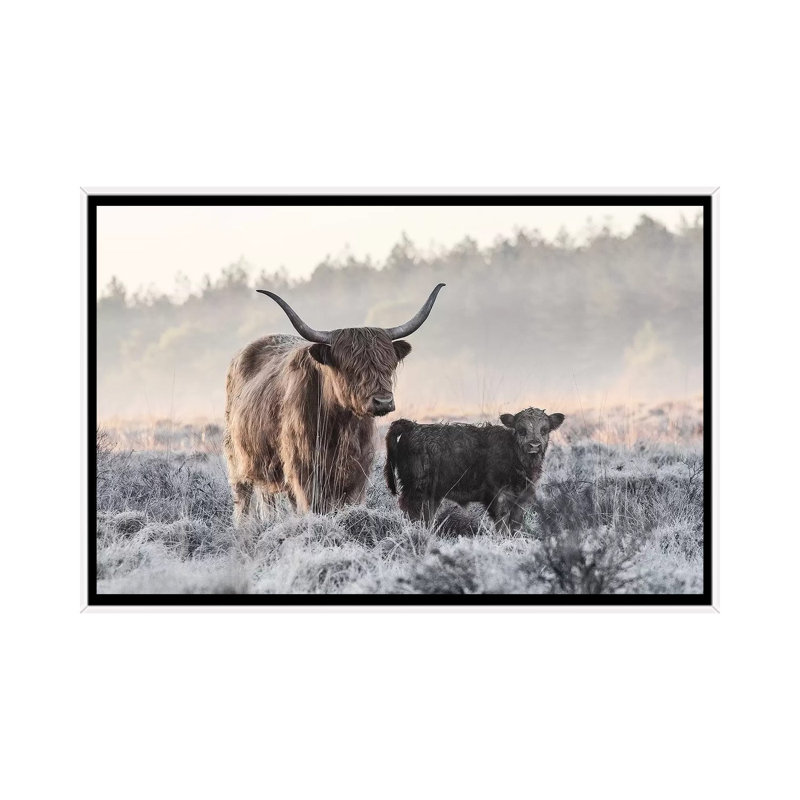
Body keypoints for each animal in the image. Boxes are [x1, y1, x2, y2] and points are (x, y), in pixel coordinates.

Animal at [224, 284, 445, 524]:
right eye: (350, 368)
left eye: (389, 365)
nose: (383, 401)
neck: (341, 424)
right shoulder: (305, 472)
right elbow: (314, 507)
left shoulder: (358, 473)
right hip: (237, 459)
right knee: (243, 498)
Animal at [383, 407, 565, 532]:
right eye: (521, 430)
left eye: (544, 430)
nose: (534, 445)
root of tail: (413, 426)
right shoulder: (498, 496)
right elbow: (502, 522)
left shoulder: (520, 498)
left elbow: (515, 524)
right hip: (416, 488)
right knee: (412, 511)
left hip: (432, 494)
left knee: (427, 514)